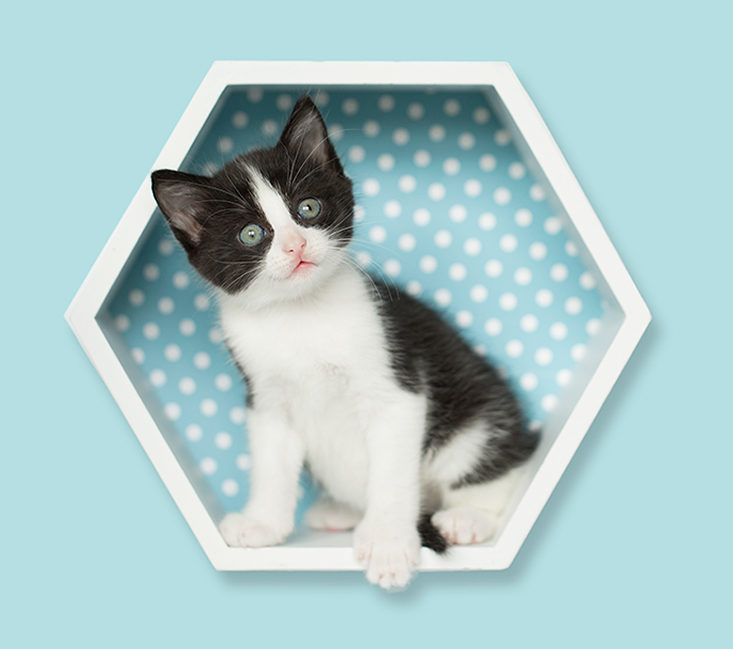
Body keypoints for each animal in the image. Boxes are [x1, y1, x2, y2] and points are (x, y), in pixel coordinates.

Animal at [150, 96, 536, 588]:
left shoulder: (397, 388)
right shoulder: (267, 400)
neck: (299, 315)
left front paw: (389, 542)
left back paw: (467, 517)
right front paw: (263, 523)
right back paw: (343, 512)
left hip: (477, 418)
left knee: (498, 466)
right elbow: (271, 464)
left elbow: (392, 474)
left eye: (308, 208)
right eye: (251, 234)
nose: (295, 246)